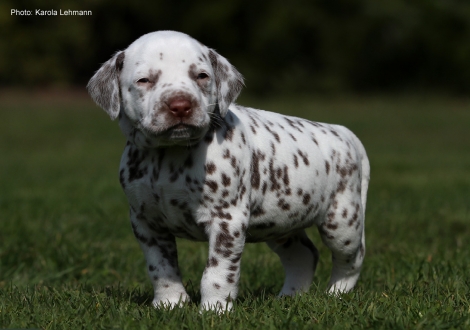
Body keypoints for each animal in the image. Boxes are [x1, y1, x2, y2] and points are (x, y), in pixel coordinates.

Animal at [86, 31, 370, 312]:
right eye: (144, 80)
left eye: (201, 76)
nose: (181, 105)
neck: (169, 157)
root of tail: (346, 133)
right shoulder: (146, 223)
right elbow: (161, 267)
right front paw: (170, 303)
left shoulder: (226, 220)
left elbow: (217, 272)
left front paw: (214, 310)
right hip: (281, 225)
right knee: (304, 255)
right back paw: (290, 297)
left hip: (342, 222)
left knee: (353, 258)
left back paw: (336, 295)